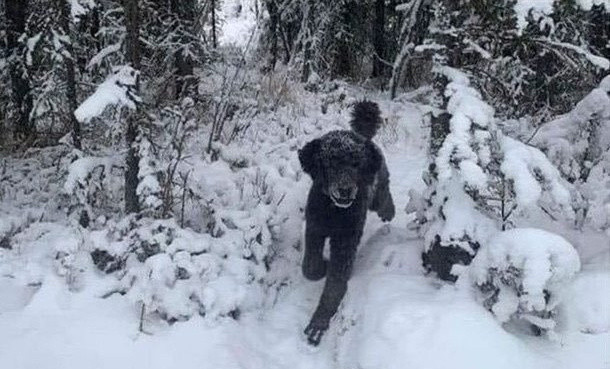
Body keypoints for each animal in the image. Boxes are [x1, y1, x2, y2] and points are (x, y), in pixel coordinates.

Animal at [296, 99, 392, 344]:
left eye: (356, 164)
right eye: (330, 163)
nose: (345, 190)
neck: (334, 212)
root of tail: (362, 136)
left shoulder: (345, 243)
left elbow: (335, 284)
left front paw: (319, 322)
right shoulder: (315, 228)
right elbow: (309, 268)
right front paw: (322, 266)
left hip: (377, 185)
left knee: (383, 197)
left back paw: (389, 211)